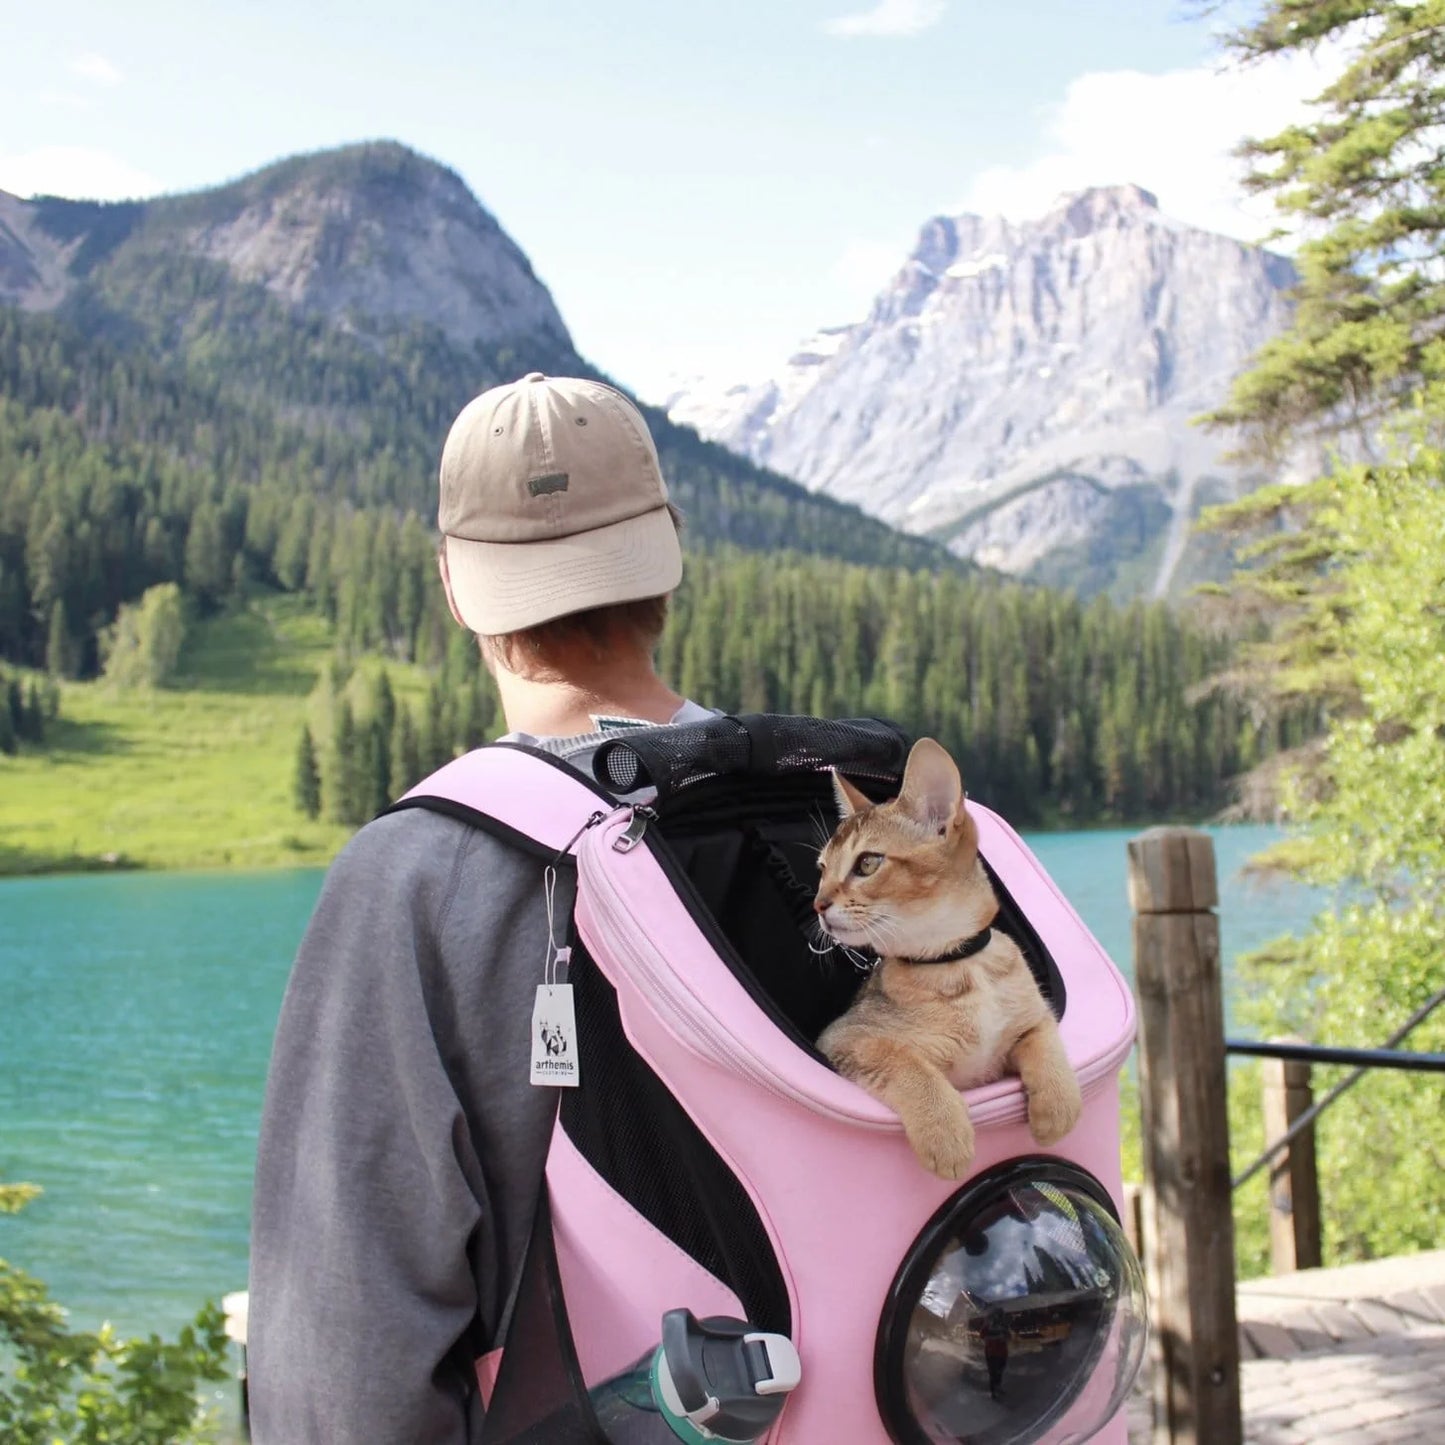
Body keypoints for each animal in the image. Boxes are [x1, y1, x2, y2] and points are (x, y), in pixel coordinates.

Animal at [820, 739, 1080, 1179]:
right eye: (821, 868)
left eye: (867, 863)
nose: (818, 904)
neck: (959, 963)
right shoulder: (842, 1037)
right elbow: (903, 1060)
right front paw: (944, 1132)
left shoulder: (1034, 1016)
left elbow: (1045, 1039)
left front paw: (1058, 1106)